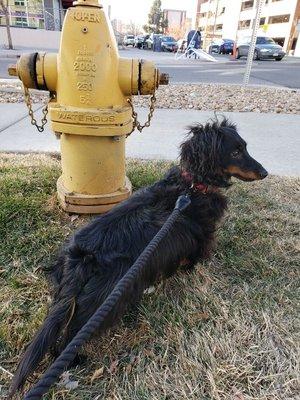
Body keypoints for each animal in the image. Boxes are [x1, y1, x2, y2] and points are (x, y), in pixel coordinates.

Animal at [9, 117, 268, 396]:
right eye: (235, 152)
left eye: (245, 147)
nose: (265, 173)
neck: (193, 187)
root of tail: (81, 256)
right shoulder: (203, 234)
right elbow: (197, 254)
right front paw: (193, 268)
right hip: (101, 300)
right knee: (68, 338)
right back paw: (76, 359)